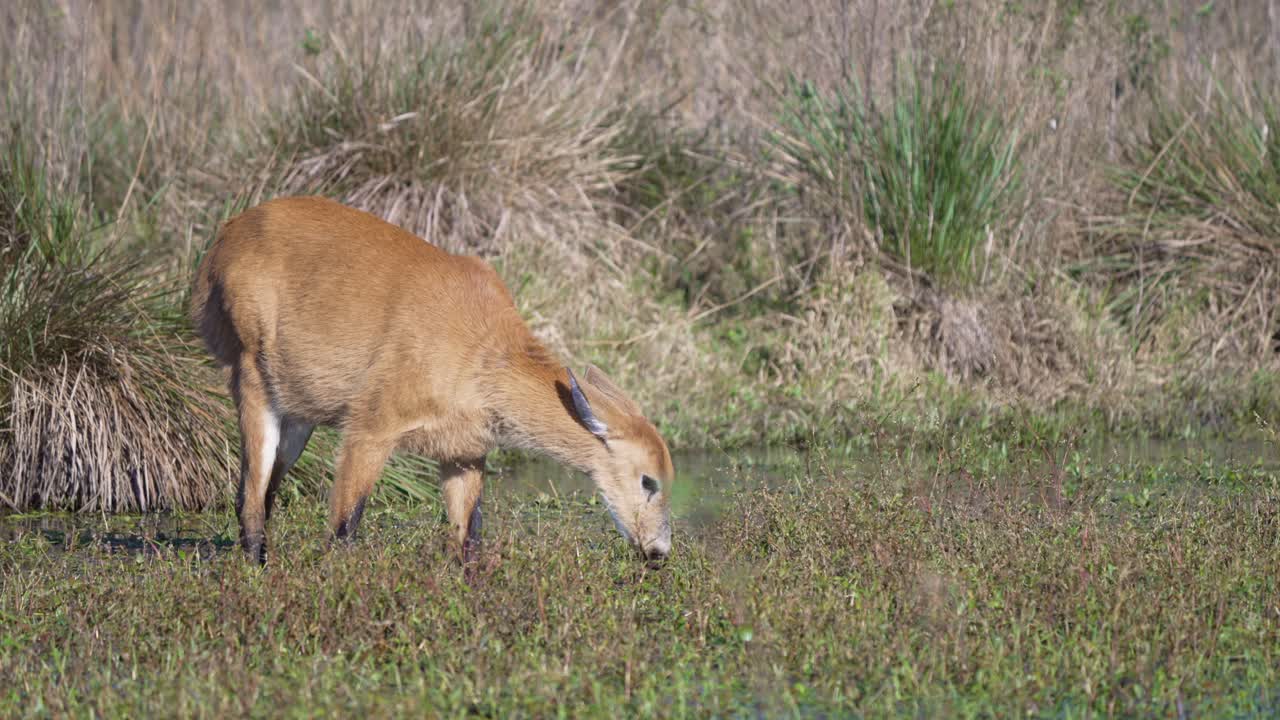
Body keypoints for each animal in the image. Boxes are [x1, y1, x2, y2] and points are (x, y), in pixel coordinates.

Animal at [191, 196, 673, 565]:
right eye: (648, 480)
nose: (659, 551)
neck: (482, 351)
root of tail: (221, 244)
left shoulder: (465, 455)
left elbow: (468, 540)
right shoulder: (369, 431)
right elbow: (345, 527)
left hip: (298, 418)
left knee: (263, 492)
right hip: (255, 386)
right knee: (249, 496)